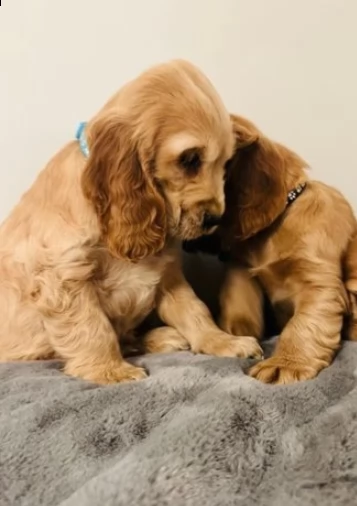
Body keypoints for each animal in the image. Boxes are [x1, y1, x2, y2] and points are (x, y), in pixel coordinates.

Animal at [184, 113, 356, 384]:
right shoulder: (242, 273)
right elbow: (239, 309)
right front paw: (236, 340)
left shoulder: (320, 283)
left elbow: (303, 324)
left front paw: (285, 364)